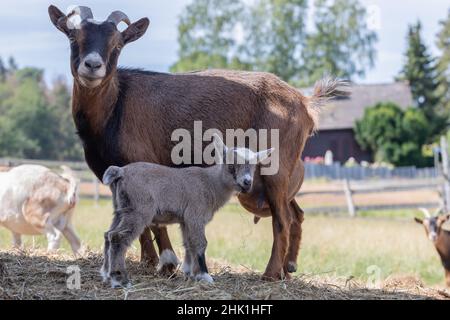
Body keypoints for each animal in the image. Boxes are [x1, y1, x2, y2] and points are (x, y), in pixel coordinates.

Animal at [47, 5, 346, 280]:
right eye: (73, 37)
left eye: (117, 44)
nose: (92, 65)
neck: (115, 107)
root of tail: (304, 101)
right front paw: (147, 261)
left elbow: (152, 218)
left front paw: (168, 262)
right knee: (296, 213)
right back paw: (288, 267)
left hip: (276, 168)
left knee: (283, 219)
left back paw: (271, 273)